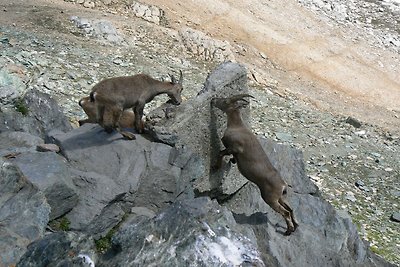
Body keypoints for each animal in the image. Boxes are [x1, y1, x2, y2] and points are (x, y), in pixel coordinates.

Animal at [211, 94, 298, 237]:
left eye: (225, 101)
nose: (213, 100)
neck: (237, 126)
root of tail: (283, 185)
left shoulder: (235, 147)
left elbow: (221, 153)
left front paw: (216, 167)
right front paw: (232, 162)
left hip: (270, 198)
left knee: (285, 212)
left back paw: (288, 231)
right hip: (281, 197)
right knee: (290, 209)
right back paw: (295, 227)